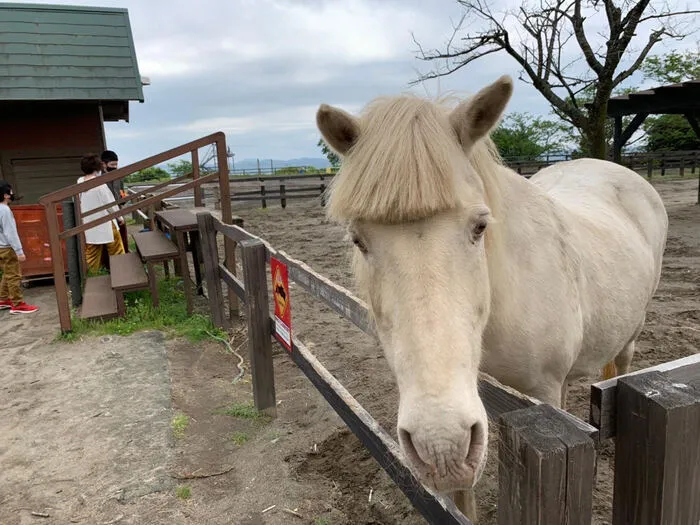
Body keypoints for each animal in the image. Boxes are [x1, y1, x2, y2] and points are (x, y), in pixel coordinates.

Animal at [316, 74, 668, 516]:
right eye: (358, 239)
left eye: (480, 226)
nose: (440, 444)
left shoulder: (544, 395)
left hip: (631, 333)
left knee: (619, 364)